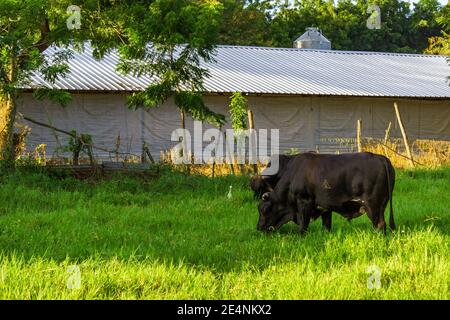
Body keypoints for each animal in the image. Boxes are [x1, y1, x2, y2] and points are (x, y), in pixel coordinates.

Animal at [251, 151, 396, 234]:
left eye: (263, 209)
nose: (258, 227)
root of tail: (378, 157)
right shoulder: (326, 207)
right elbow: (326, 225)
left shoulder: (304, 202)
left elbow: (303, 225)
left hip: (373, 205)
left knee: (380, 225)